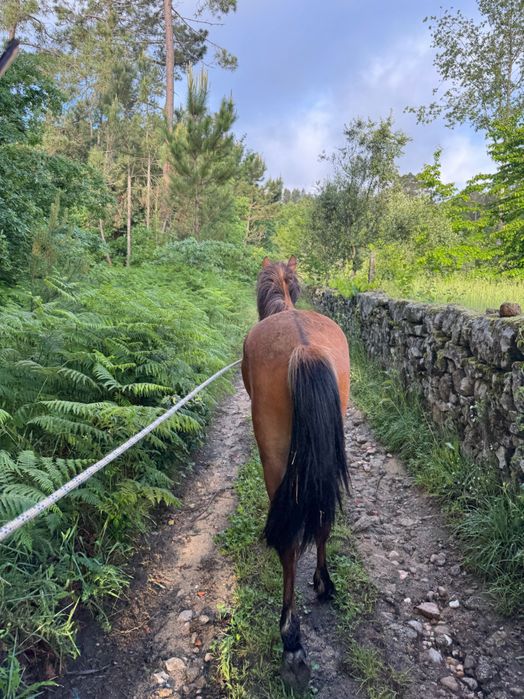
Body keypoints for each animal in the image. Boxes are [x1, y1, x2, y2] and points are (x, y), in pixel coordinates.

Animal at [241, 255, 350, 690]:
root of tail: (304, 347)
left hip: (274, 455)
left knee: (288, 542)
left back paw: (292, 642)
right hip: (327, 455)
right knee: (322, 519)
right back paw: (323, 584)